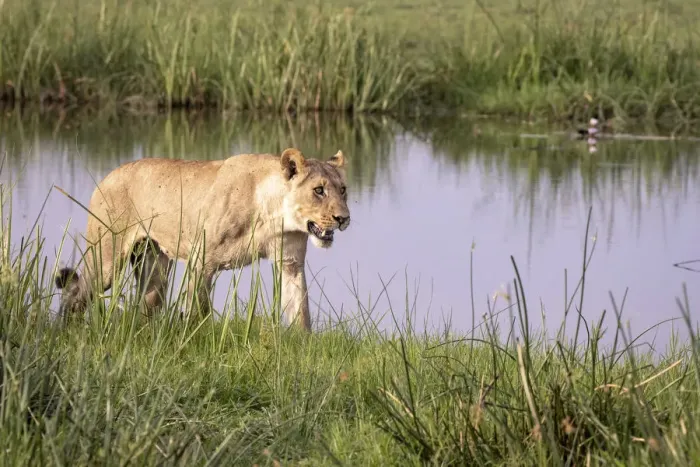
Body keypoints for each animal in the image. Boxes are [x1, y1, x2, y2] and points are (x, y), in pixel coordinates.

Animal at [54, 147, 351, 331]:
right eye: (319, 190)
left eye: (343, 190)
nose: (343, 218)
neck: (274, 213)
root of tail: (109, 174)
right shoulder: (202, 259)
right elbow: (198, 310)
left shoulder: (290, 263)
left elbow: (300, 310)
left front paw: (304, 344)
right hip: (107, 260)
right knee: (76, 290)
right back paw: (66, 329)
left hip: (154, 268)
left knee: (147, 305)